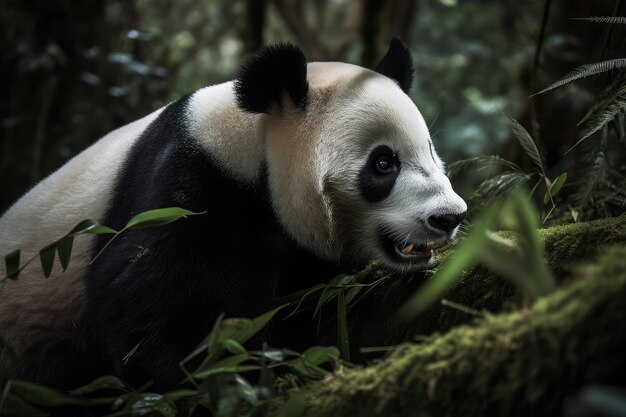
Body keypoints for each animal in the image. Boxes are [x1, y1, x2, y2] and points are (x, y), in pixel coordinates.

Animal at [0, 38, 466, 390]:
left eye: (430, 151)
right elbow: (151, 301)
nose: (450, 216)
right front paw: (211, 379)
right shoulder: (182, 188)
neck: (251, 147)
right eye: (383, 164)